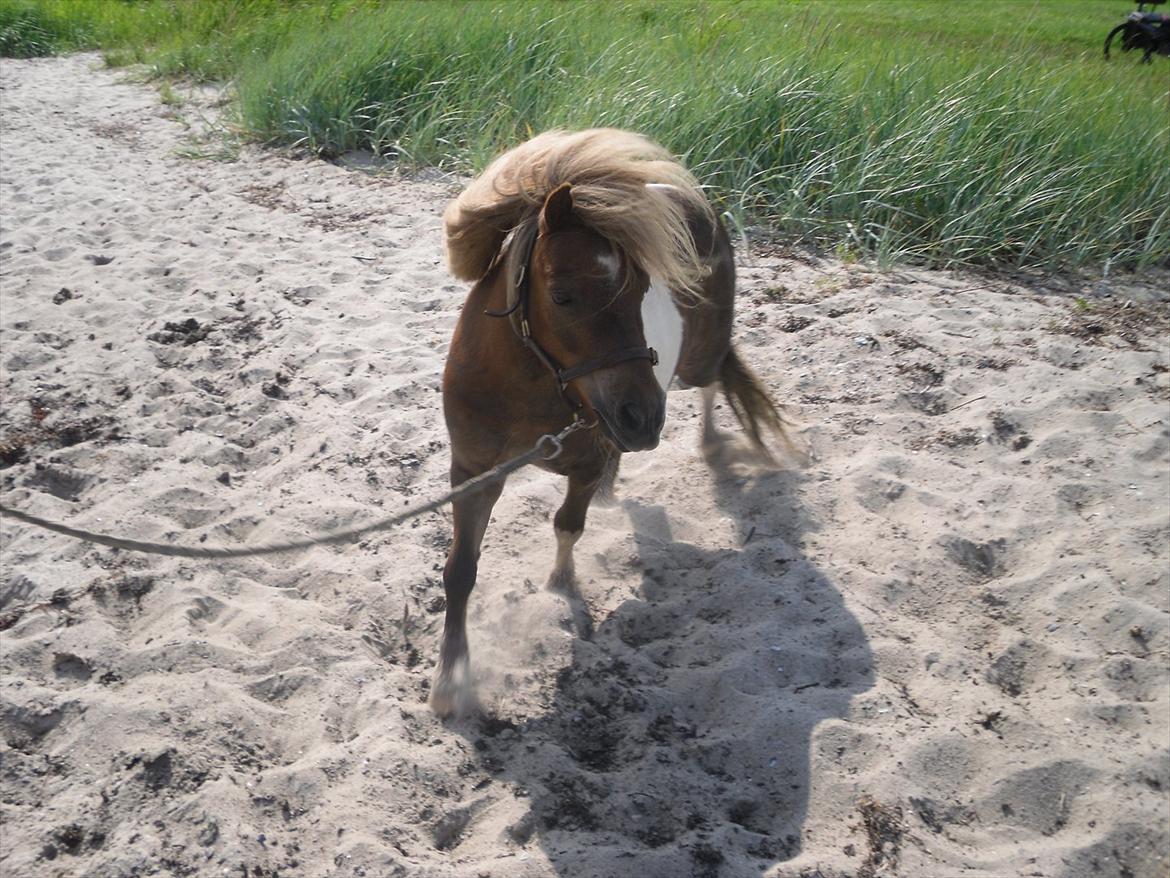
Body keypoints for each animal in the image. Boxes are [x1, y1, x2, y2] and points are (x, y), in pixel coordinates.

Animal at [430, 130, 786, 716]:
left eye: (645, 290)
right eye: (563, 295)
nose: (643, 419)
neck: (532, 386)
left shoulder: (586, 461)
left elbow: (568, 526)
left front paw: (562, 586)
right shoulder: (474, 473)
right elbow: (461, 571)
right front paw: (450, 683)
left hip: (695, 362)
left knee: (712, 380)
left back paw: (710, 443)